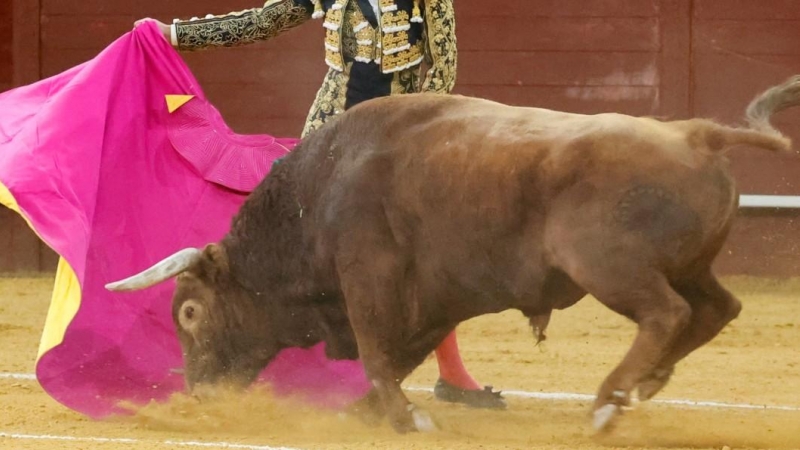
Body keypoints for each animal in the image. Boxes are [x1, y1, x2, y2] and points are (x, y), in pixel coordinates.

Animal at [106, 76, 800, 432]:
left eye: (190, 312)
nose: (200, 392)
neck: (319, 192)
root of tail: (698, 134)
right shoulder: (434, 297)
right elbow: (402, 353)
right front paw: (368, 412)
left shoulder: (368, 277)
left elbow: (378, 351)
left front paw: (401, 416)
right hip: (690, 265)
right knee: (717, 308)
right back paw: (644, 385)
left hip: (611, 267)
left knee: (667, 314)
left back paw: (607, 402)